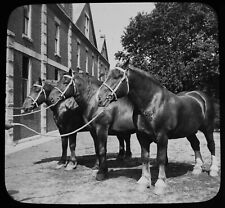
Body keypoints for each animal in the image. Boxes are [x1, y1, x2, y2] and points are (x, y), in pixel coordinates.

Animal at [97, 64, 220, 194]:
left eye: (117, 77)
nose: (99, 98)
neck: (152, 103)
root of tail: (201, 97)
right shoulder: (142, 136)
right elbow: (145, 157)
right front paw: (144, 181)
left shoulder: (162, 136)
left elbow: (160, 158)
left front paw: (160, 184)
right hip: (189, 131)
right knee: (195, 144)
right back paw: (197, 168)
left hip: (208, 128)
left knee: (211, 145)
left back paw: (213, 170)